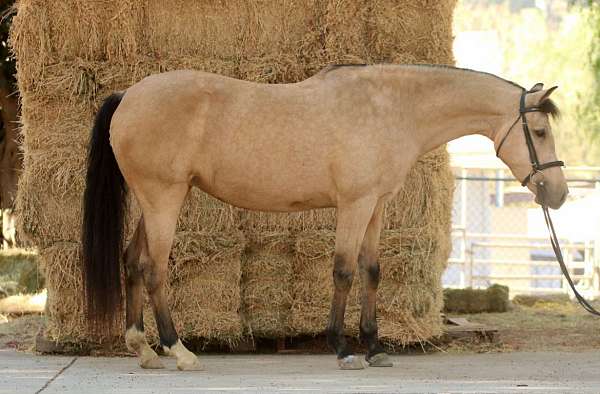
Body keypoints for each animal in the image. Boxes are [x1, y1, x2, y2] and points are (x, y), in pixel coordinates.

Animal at [81, 63, 568, 370]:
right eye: (539, 131)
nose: (558, 194)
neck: (390, 107)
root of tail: (128, 96)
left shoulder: (375, 206)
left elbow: (372, 271)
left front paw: (374, 348)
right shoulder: (354, 204)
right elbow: (343, 271)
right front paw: (343, 349)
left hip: (152, 202)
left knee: (132, 263)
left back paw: (143, 350)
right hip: (163, 198)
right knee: (154, 269)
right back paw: (178, 351)